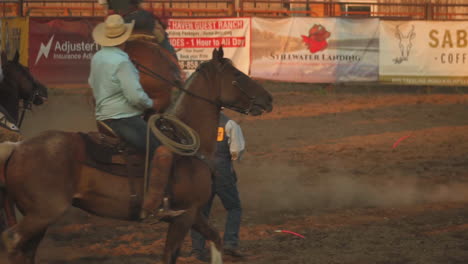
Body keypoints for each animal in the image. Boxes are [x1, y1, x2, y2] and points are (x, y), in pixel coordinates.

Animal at [0, 48, 274, 264]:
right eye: (237, 75)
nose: (269, 99)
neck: (187, 142)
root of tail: (17, 147)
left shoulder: (193, 213)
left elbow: (215, 238)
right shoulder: (183, 215)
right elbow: (169, 256)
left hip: (38, 217)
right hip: (44, 213)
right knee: (11, 240)